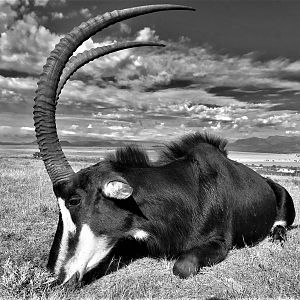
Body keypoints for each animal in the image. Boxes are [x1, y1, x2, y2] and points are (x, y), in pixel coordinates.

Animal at [33, 4, 296, 286]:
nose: (54, 275)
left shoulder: (220, 242)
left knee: (281, 225)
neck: (185, 195)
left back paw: (277, 236)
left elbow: (182, 267)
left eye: (74, 200)